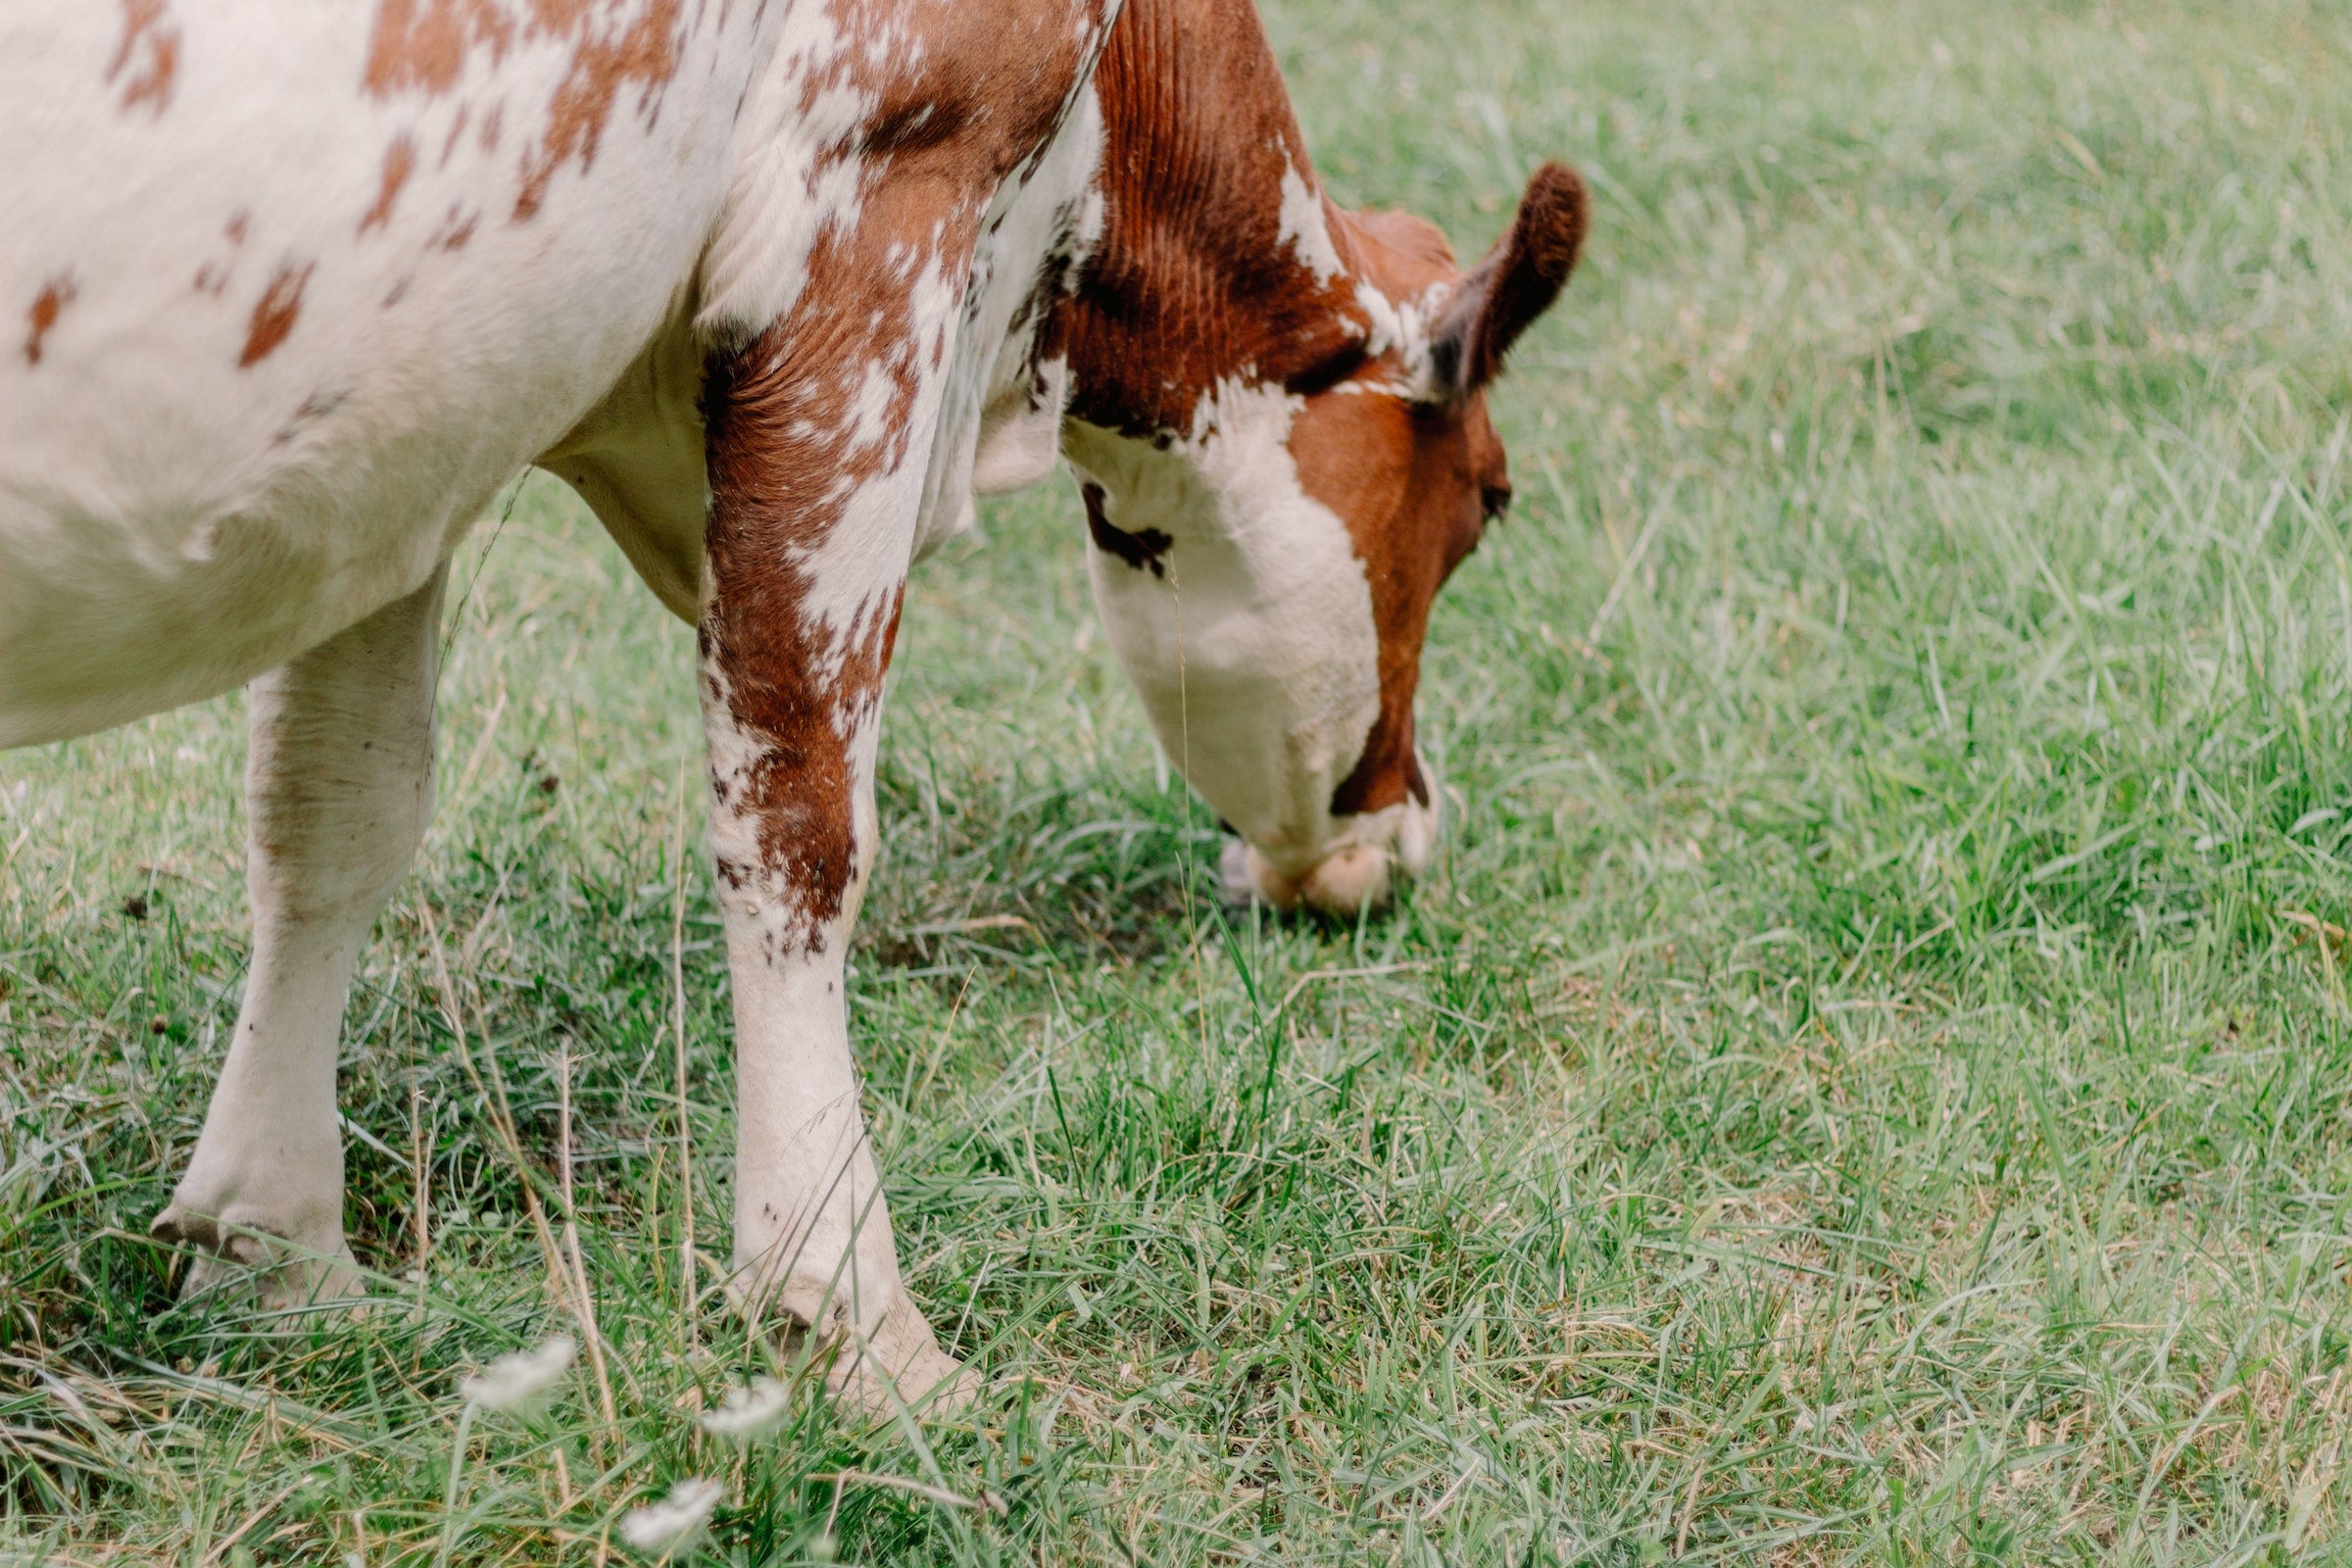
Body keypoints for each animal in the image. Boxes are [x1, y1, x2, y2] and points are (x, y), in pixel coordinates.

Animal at [4, 0, 1580, 1419]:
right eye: (1490, 502)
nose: (1405, 831)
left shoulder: (407, 433)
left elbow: (335, 809)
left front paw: (276, 1252)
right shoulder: (878, 210)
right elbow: (799, 819)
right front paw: (854, 1322)